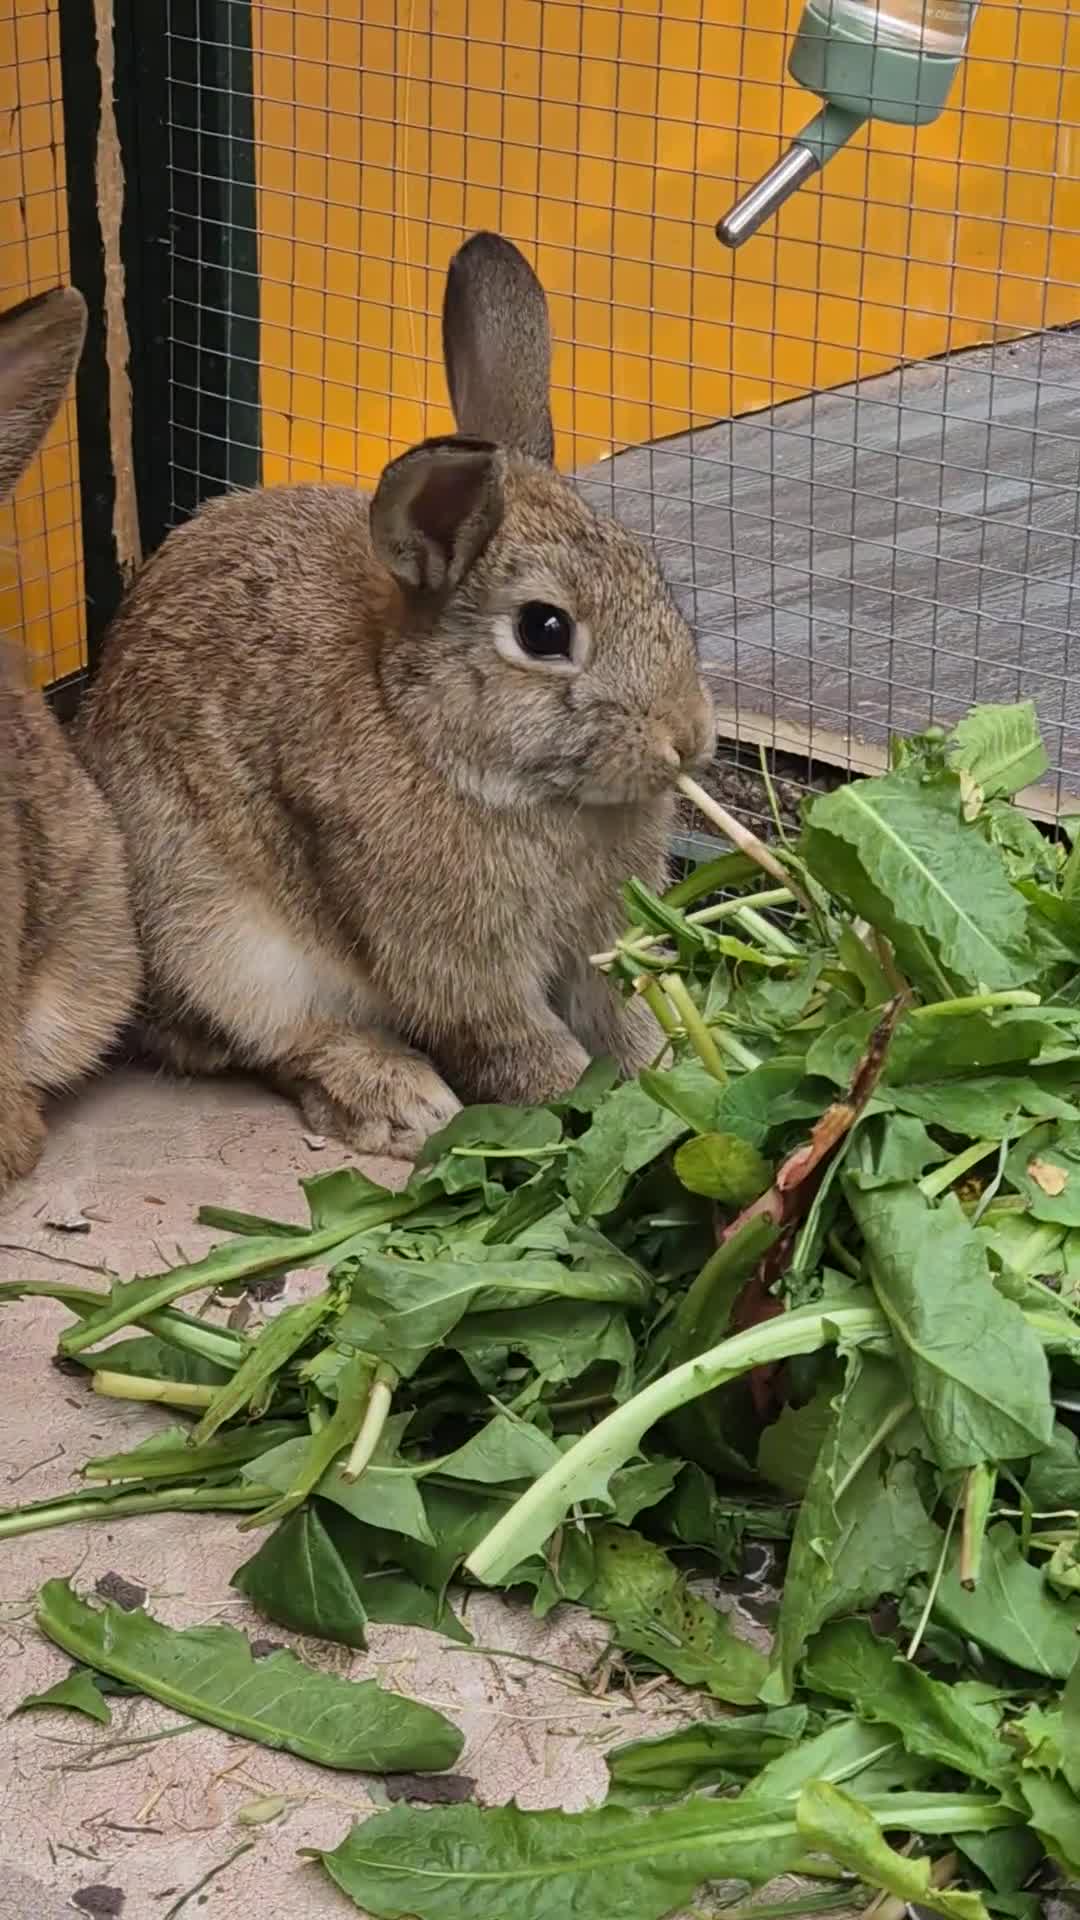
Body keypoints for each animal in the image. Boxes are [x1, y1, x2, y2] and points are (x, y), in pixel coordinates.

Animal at [75, 232, 715, 1159]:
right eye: (544, 630)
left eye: (651, 575)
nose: (688, 738)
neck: (429, 729)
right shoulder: (461, 968)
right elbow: (517, 1040)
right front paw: (577, 1104)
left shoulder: (596, 944)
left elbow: (617, 1012)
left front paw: (669, 1068)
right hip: (219, 938)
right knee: (280, 1041)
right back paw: (399, 1101)